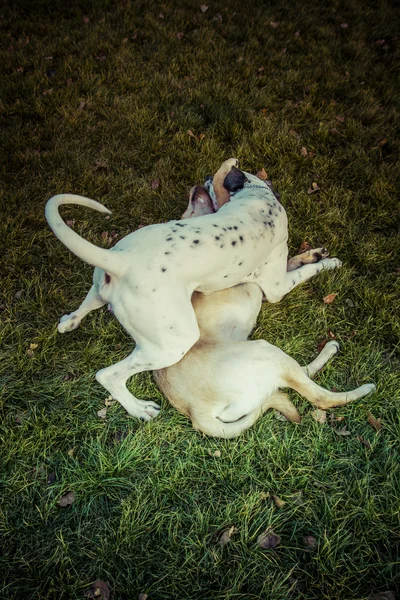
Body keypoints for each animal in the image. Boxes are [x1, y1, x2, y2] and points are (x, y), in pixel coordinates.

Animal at [45, 161, 342, 422]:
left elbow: (298, 261)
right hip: (174, 344)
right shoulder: (277, 287)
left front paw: (316, 253)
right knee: (108, 375)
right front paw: (329, 263)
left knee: (84, 308)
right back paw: (139, 409)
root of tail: (122, 261)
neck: (260, 198)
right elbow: (306, 271)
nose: (205, 179)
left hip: (101, 290)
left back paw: (68, 322)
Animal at [153, 185, 376, 438]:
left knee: (300, 374)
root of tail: (196, 413)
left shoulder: (272, 276)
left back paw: (330, 349)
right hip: (264, 350)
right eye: (187, 213)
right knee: (319, 397)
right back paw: (364, 389)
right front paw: (325, 264)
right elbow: (306, 271)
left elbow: (293, 262)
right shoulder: (274, 286)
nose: (196, 187)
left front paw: (314, 255)